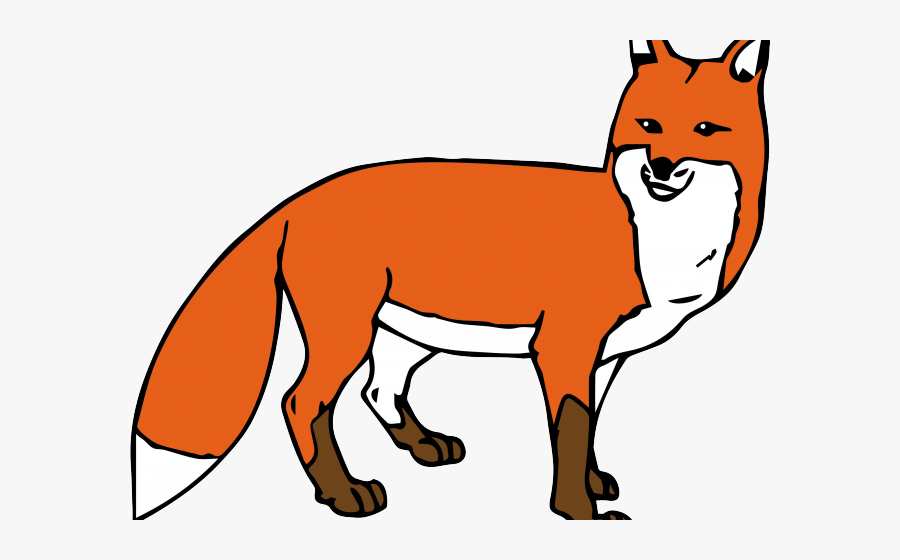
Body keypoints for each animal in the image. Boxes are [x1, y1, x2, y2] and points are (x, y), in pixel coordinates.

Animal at [131, 40, 769, 521]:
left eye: (706, 129)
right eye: (649, 125)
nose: (660, 166)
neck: (657, 239)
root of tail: (301, 196)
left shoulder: (607, 355)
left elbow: (589, 428)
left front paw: (593, 483)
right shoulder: (564, 346)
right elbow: (569, 430)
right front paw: (577, 513)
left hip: (408, 334)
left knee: (377, 389)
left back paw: (423, 446)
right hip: (348, 331)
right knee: (302, 401)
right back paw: (344, 495)